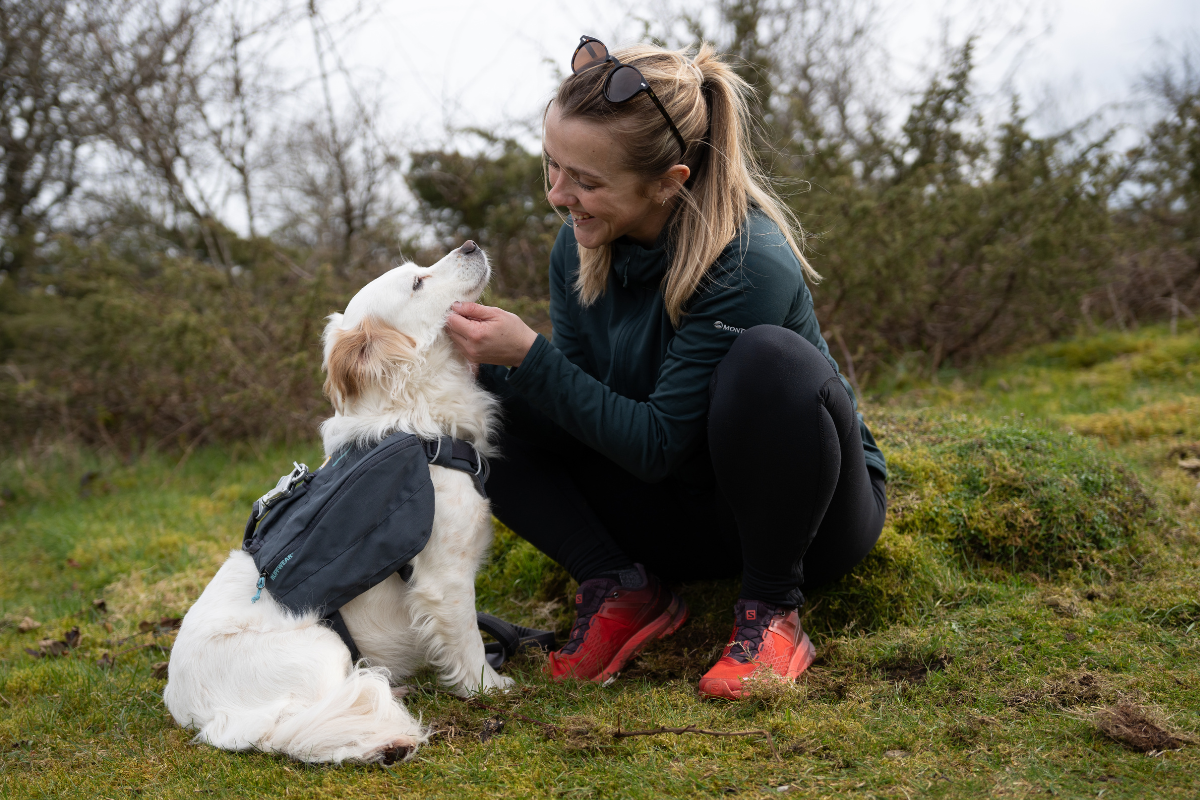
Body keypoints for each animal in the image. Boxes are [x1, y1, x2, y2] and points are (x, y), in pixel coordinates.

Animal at [165, 241, 511, 767]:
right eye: (418, 282)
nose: (470, 244)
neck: (418, 426)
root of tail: (198, 714)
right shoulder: (445, 581)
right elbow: (469, 643)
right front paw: (491, 688)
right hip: (323, 646)